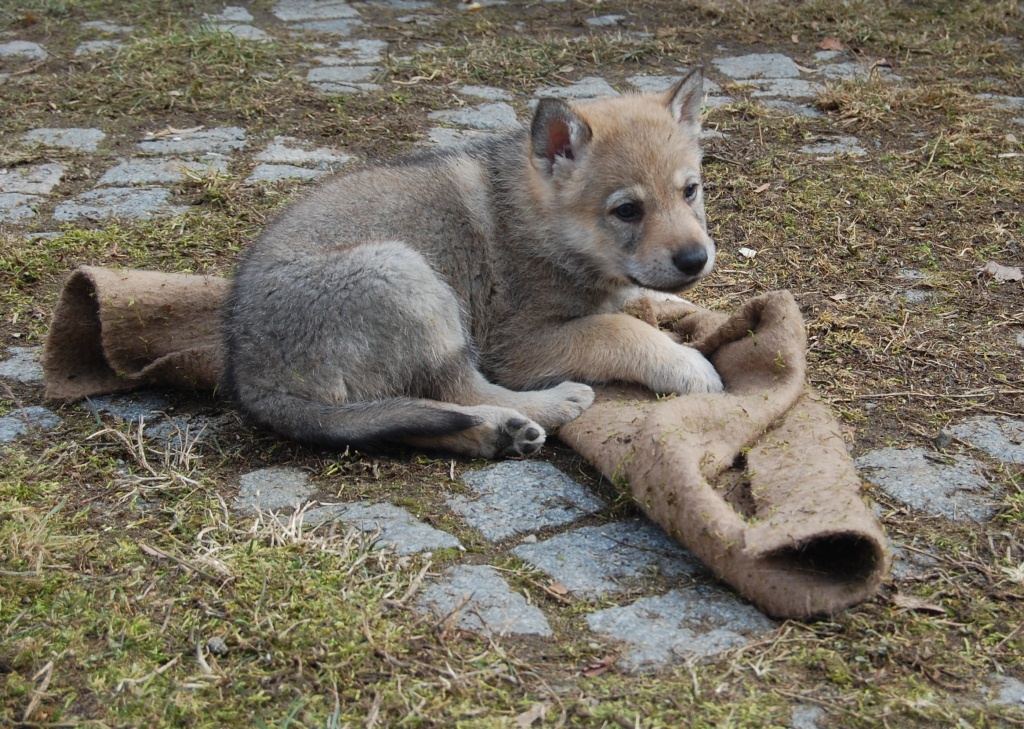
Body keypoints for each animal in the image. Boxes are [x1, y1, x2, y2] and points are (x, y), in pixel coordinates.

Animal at [224, 67, 720, 454]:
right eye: (627, 210)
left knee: (410, 417)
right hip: (406, 276)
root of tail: (255, 378)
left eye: (690, 191)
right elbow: (616, 328)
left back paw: (500, 434)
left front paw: (682, 308)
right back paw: (548, 406)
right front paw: (685, 363)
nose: (695, 259)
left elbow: (639, 303)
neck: (540, 226)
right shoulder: (518, 345)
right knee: (461, 390)